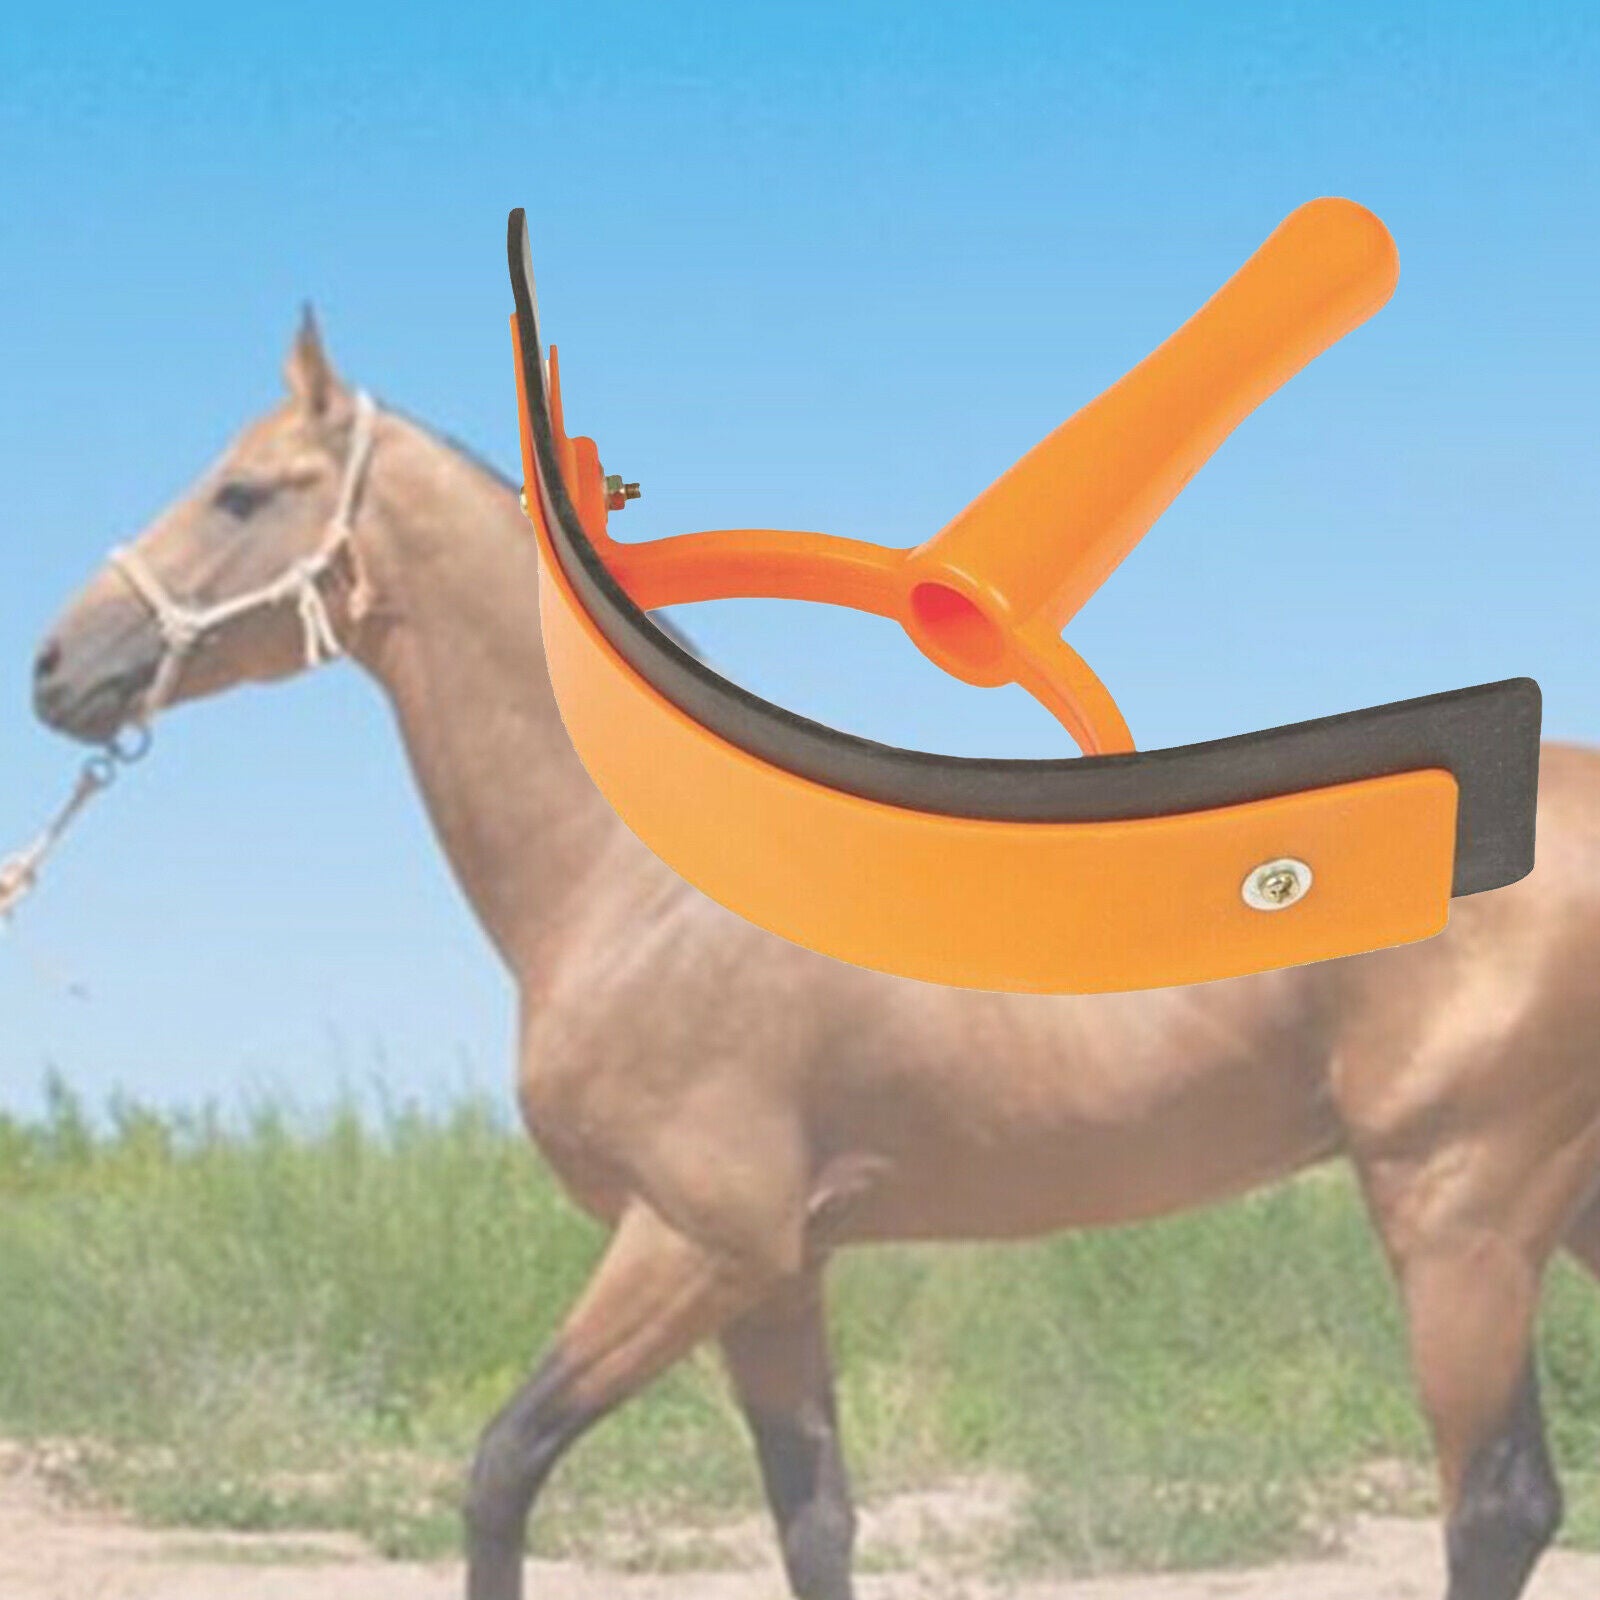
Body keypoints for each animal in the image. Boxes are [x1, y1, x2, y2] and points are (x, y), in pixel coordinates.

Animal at [31, 313, 1600, 1600]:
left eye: (242, 491)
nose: (56, 669)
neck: (637, 884)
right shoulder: (776, 1279)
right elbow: (814, 1526)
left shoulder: (692, 1241)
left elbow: (499, 1473)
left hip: (1457, 1206)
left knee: (1497, 1507)